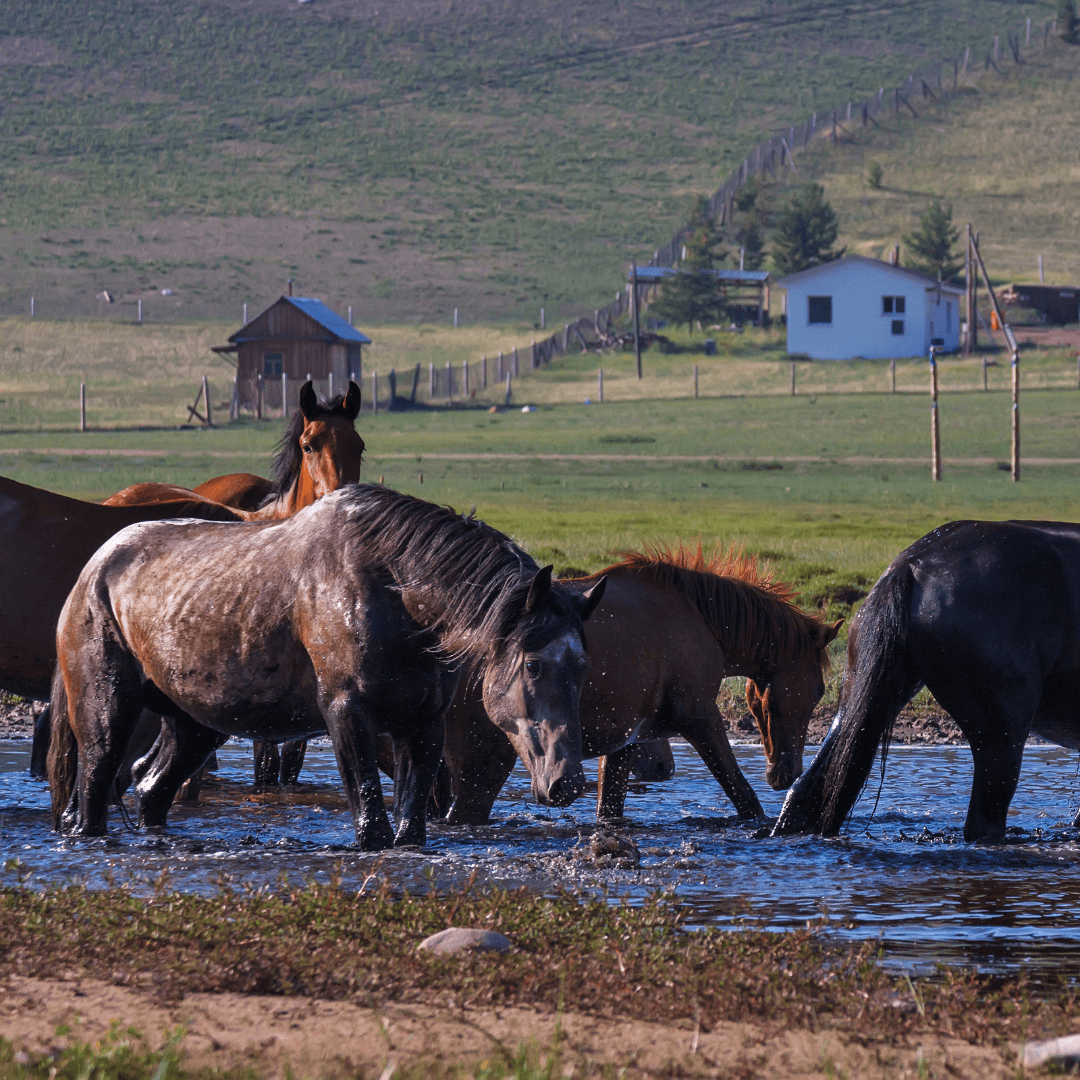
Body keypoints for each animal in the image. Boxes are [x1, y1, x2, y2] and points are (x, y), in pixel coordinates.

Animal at [48, 486, 609, 846]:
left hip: (195, 725)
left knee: (150, 790)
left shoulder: (423, 723)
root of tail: (93, 569)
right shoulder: (347, 713)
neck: (390, 590)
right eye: (533, 666)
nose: (568, 784)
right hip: (107, 715)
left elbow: (410, 826)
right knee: (93, 794)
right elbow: (371, 821)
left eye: (583, 667)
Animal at [434, 544, 838, 820]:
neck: (698, 616)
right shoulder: (701, 718)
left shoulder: (626, 738)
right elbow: (741, 793)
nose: (787, 775)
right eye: (817, 690)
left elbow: (609, 808)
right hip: (482, 766)